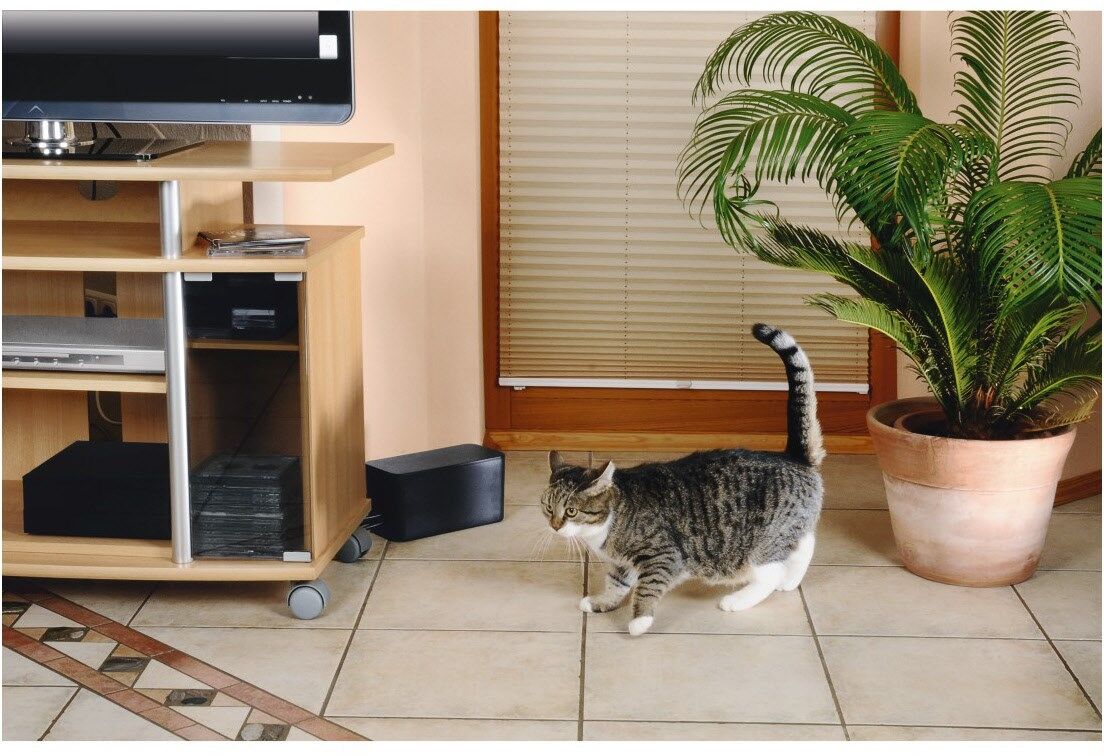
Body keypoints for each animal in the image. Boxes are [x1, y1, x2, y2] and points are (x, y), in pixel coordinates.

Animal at [540, 323, 824, 636]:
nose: (554, 526)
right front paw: (602, 603)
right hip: (790, 529)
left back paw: (737, 600)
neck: (612, 521)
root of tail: (794, 456)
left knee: (772, 572)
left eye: (571, 511)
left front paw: (639, 621)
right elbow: (616, 584)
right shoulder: (623, 564)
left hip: (763, 543)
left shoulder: (663, 556)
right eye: (548, 508)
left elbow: (646, 588)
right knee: (806, 544)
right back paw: (791, 581)